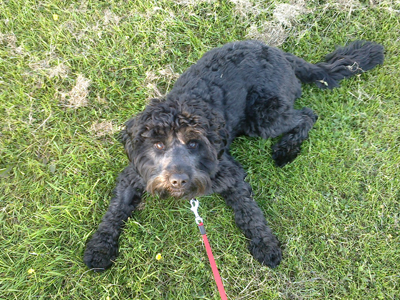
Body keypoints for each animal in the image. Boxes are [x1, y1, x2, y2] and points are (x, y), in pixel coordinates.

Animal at [84, 39, 384, 270]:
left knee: (308, 115)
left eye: (193, 143)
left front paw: (266, 245)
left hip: (263, 117)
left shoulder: (230, 174)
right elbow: (115, 211)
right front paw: (100, 248)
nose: (179, 180)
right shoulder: (133, 175)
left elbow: (249, 212)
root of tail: (280, 53)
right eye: (157, 144)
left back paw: (286, 151)